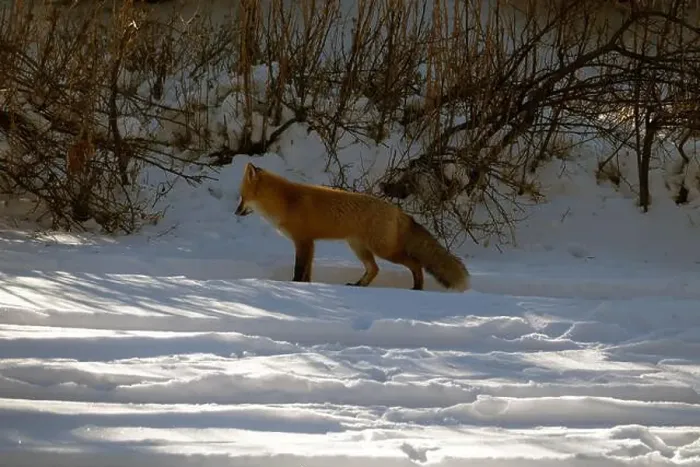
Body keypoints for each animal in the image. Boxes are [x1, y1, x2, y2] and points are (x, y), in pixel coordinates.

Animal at [235, 162, 470, 292]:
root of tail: (399, 211)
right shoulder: (310, 243)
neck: (286, 202)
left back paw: (417, 288)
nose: (235, 212)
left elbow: (299, 270)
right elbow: (307, 274)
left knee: (415, 264)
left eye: (242, 198)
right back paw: (359, 285)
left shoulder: (303, 241)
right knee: (374, 269)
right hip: (359, 248)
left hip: (384, 251)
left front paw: (293, 286)